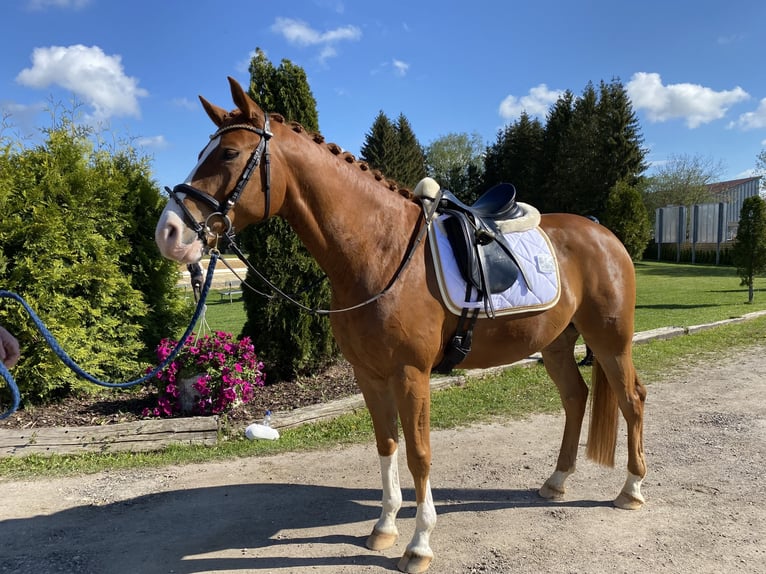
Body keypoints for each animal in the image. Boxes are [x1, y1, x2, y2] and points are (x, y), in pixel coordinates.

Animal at [155, 77, 646, 574]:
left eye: (229, 153)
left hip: (610, 341)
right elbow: (387, 445)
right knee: (576, 398)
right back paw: (557, 481)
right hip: (557, 343)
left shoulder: (412, 375)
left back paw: (631, 490)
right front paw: (385, 527)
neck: (380, 252)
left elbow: (419, 454)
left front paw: (420, 544)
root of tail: (602, 233)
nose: (169, 233)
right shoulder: (369, 375)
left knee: (631, 400)